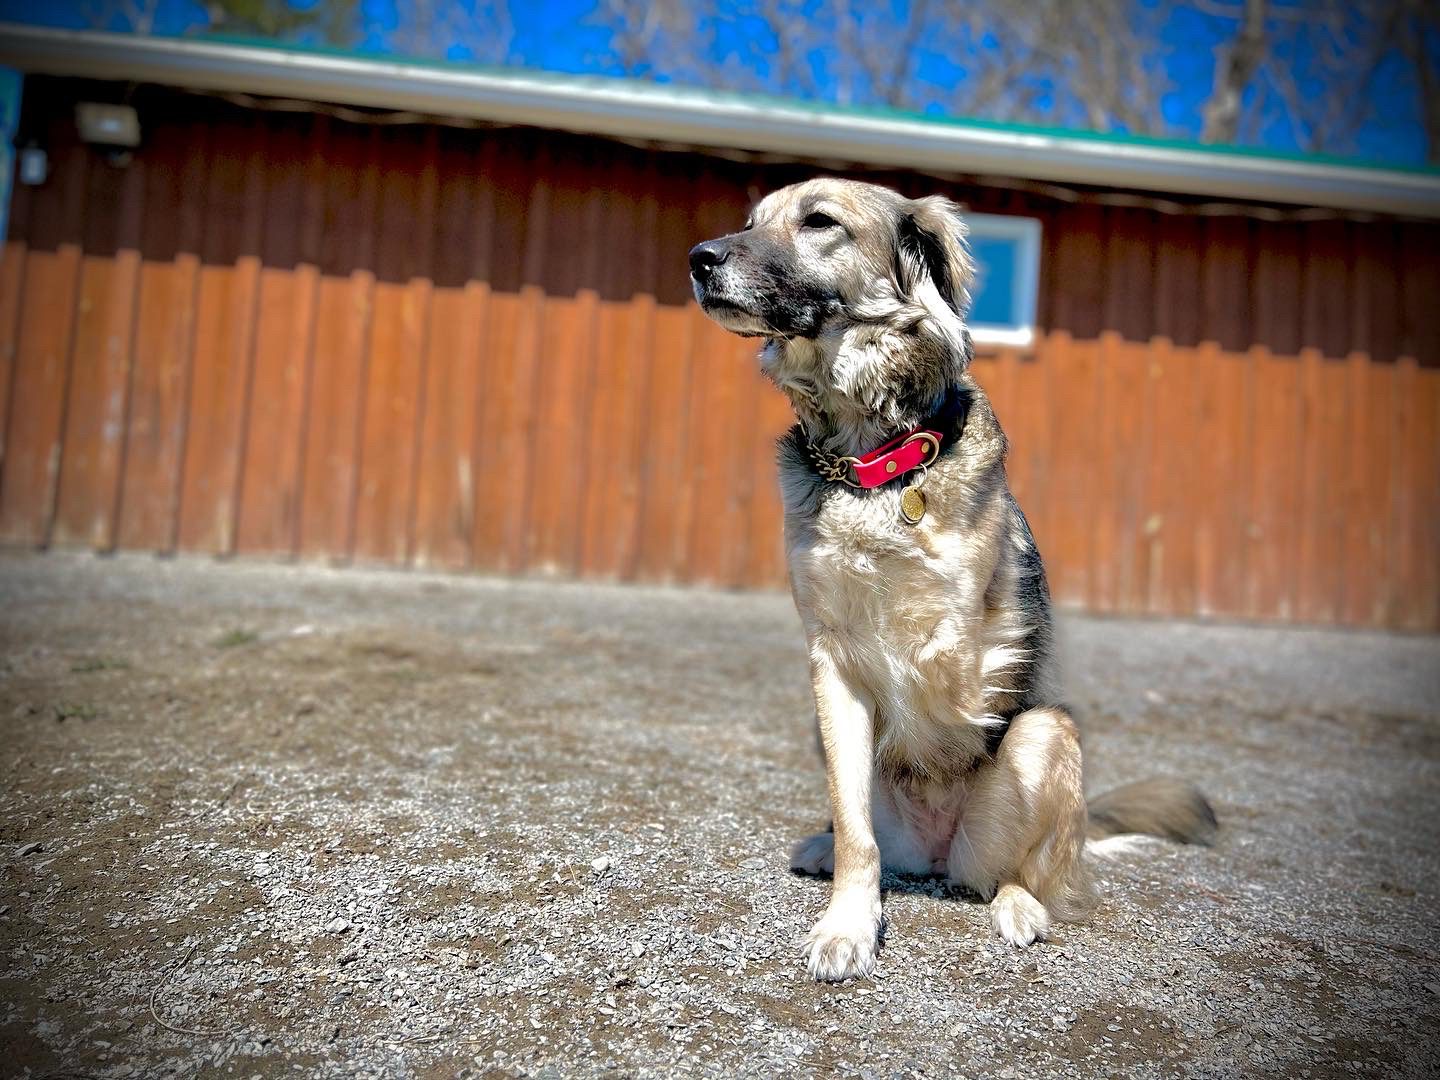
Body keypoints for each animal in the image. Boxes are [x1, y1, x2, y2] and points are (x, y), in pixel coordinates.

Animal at [685, 180, 1215, 990]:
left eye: (819, 221)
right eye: (750, 222)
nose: (699, 258)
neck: (870, 466)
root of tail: (938, 855)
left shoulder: (961, 638)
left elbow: (934, 656)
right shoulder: (829, 659)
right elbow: (858, 835)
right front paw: (848, 925)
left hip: (1044, 735)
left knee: (1025, 874)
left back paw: (1022, 906)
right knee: (869, 834)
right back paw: (822, 846)